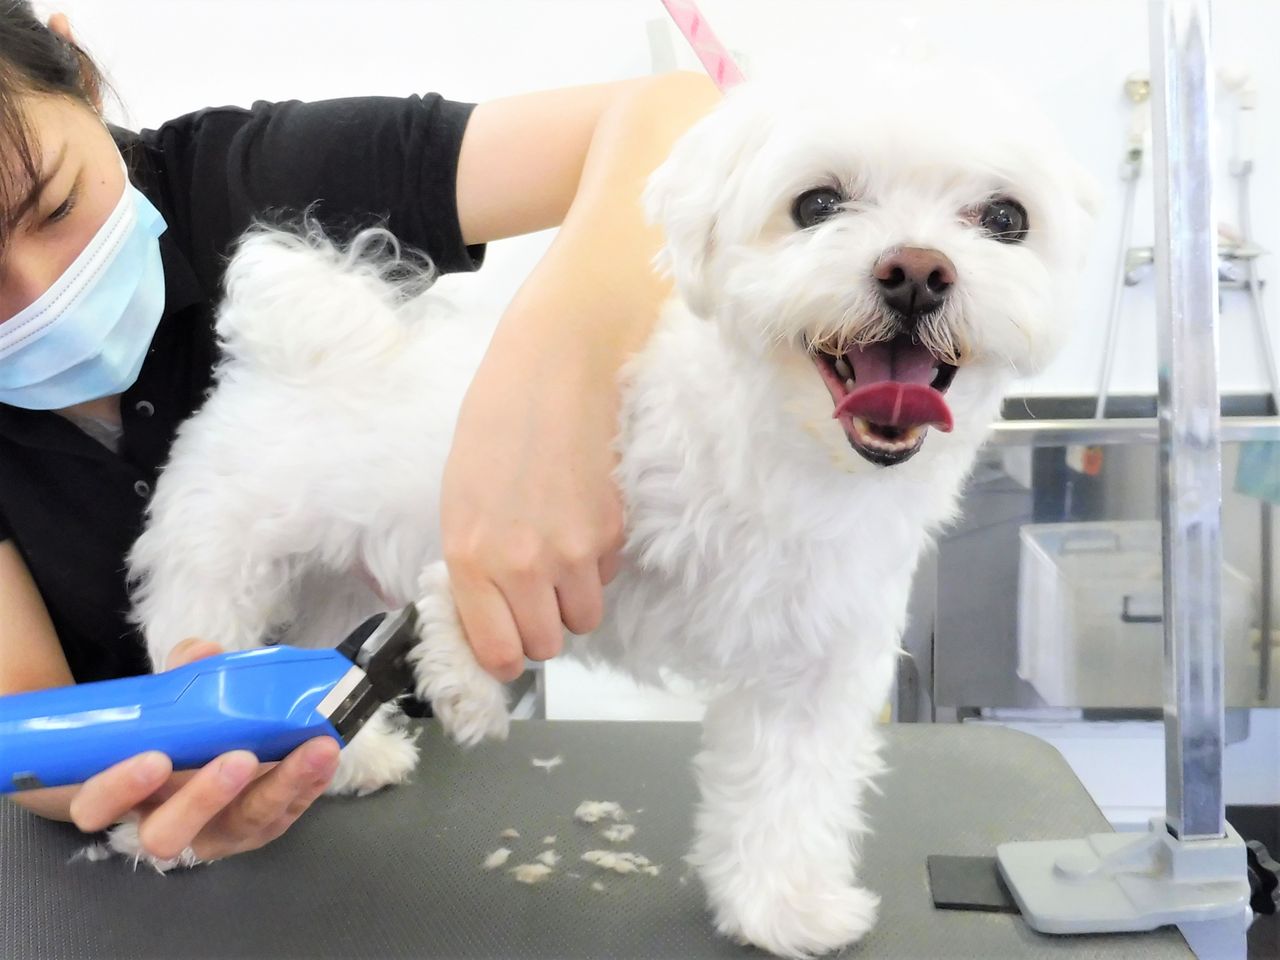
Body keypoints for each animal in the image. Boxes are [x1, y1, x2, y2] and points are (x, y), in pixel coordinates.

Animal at [124, 65, 1095, 960]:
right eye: (817, 203)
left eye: (1004, 218)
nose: (917, 272)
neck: (781, 459)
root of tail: (299, 345)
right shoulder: (540, 531)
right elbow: (458, 589)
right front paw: (465, 679)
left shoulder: (814, 658)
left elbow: (788, 793)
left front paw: (783, 911)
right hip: (220, 567)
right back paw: (164, 813)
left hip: (337, 579)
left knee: (320, 661)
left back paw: (350, 757)